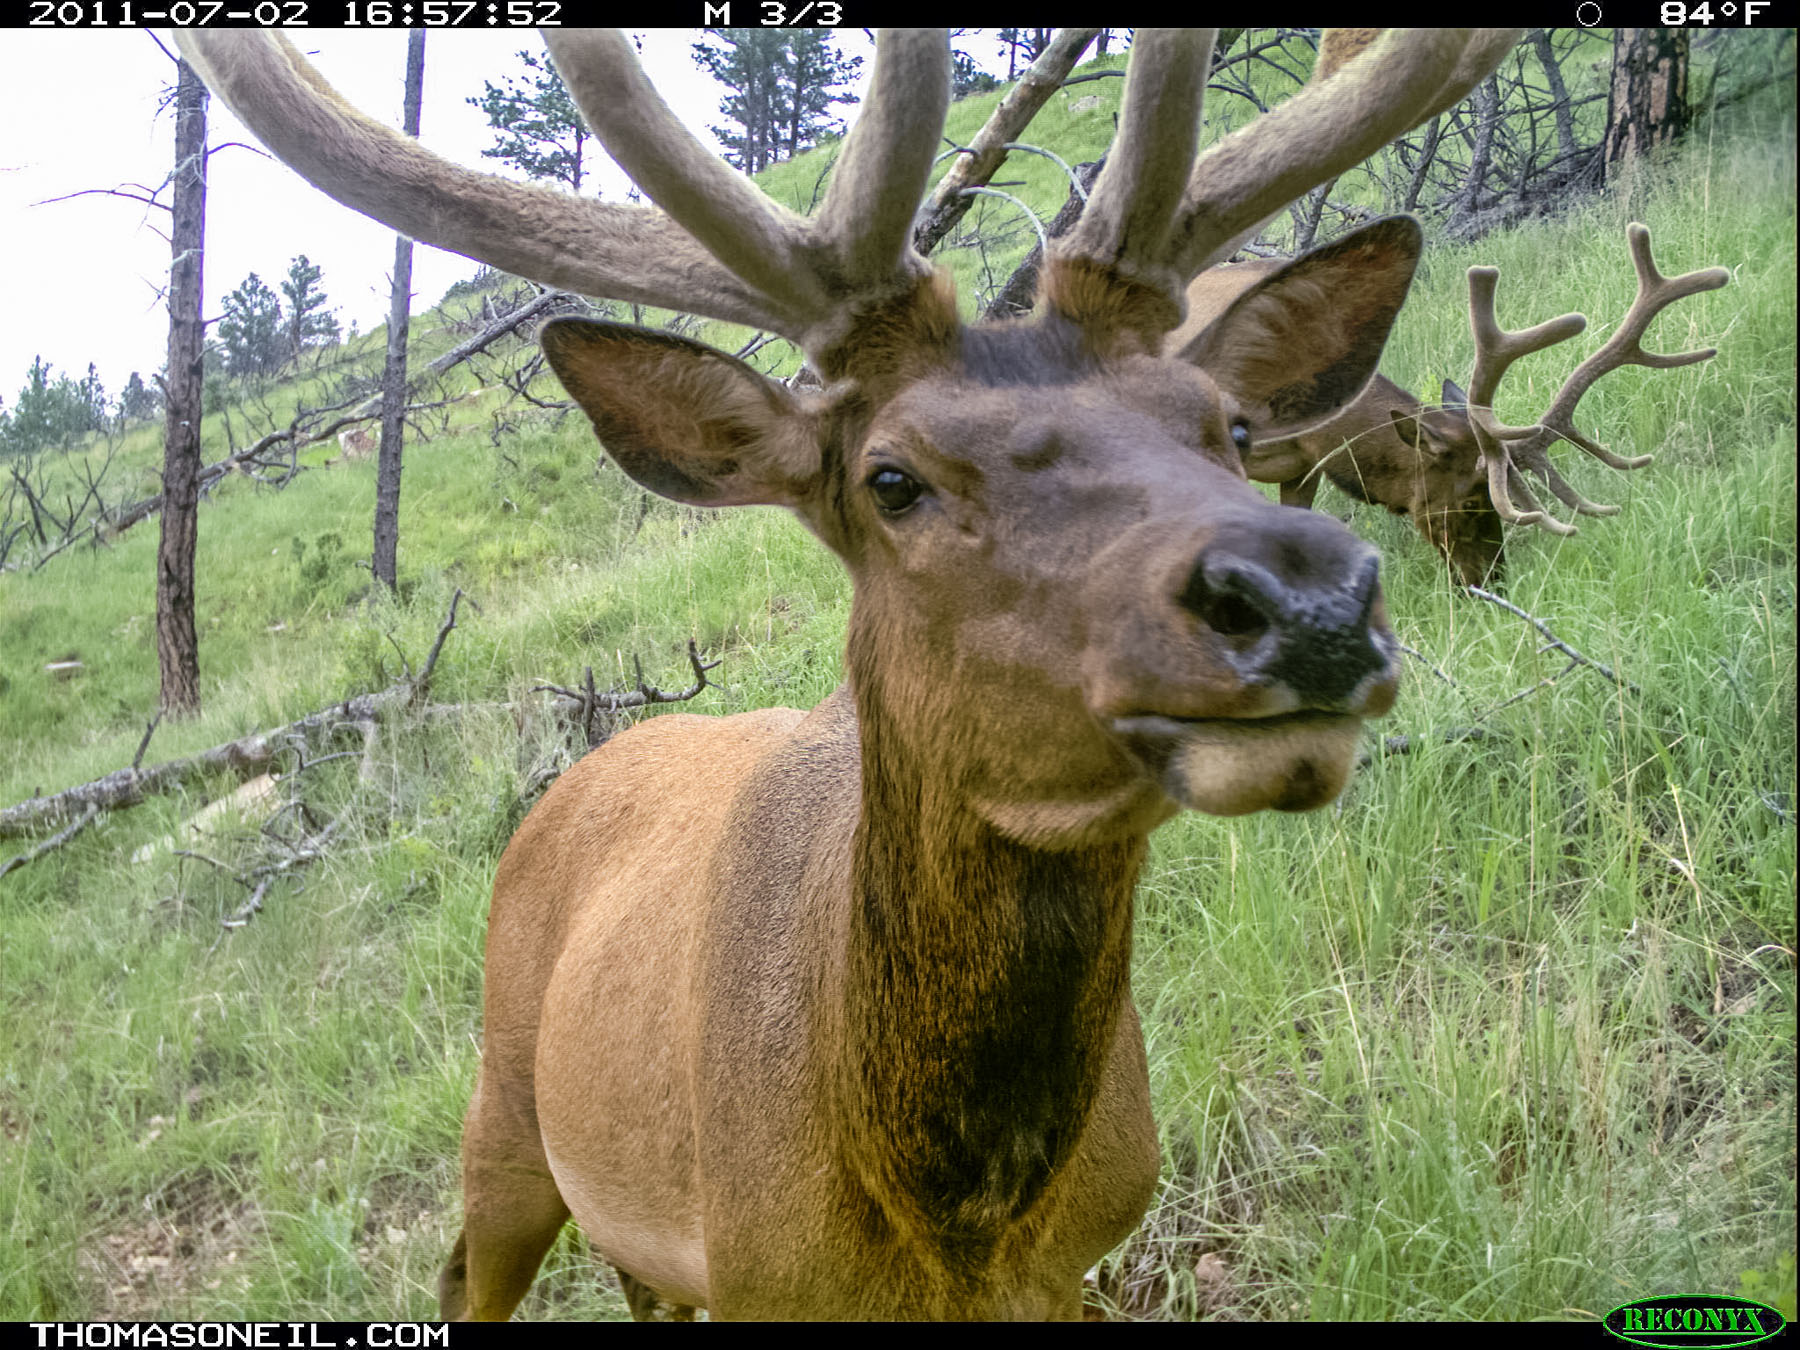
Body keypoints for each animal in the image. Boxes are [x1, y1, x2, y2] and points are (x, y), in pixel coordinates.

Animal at [175, 28, 1521, 1320]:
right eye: (892, 478)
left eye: (1230, 426)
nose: (1309, 598)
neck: (956, 1224)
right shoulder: (766, 1280)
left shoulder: (1074, 1264)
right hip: (504, 1108)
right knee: (465, 1274)